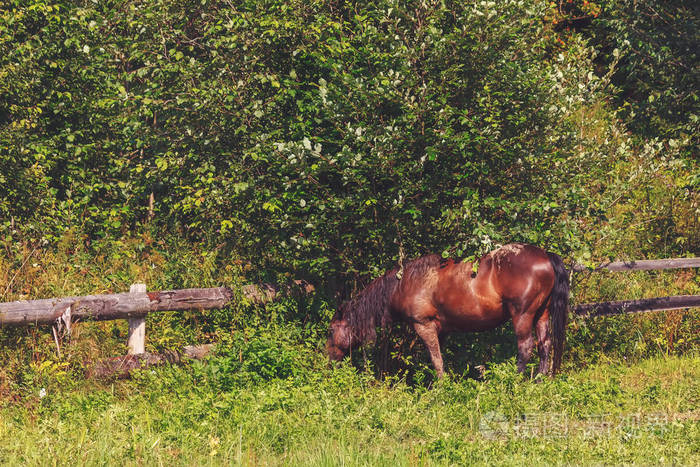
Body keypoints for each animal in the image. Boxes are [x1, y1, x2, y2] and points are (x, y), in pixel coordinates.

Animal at [326, 243, 568, 378]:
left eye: (331, 330)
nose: (328, 359)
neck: (404, 283)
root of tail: (546, 256)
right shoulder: (441, 331)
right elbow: (439, 359)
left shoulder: (424, 325)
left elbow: (436, 360)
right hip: (541, 314)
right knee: (544, 345)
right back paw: (540, 381)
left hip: (523, 315)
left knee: (526, 347)